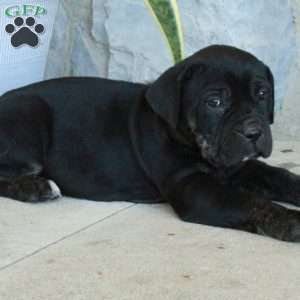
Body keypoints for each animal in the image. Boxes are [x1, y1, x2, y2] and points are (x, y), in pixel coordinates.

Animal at [0, 44, 300, 241]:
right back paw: (36, 188)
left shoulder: (240, 167)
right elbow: (250, 202)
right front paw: (289, 220)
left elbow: (279, 176)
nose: (253, 132)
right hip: (29, 116)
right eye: (214, 102)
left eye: (262, 94)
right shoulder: (194, 189)